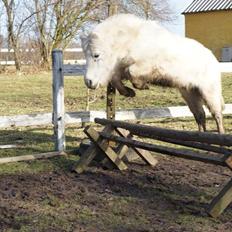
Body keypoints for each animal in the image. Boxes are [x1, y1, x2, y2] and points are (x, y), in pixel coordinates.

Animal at [81, 14, 225, 134]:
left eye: (96, 55)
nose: (88, 82)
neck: (131, 40)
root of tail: (212, 58)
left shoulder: (149, 66)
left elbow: (131, 72)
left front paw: (142, 86)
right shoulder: (118, 68)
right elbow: (116, 80)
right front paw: (129, 92)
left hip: (209, 91)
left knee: (216, 114)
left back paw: (220, 135)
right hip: (190, 93)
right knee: (200, 115)